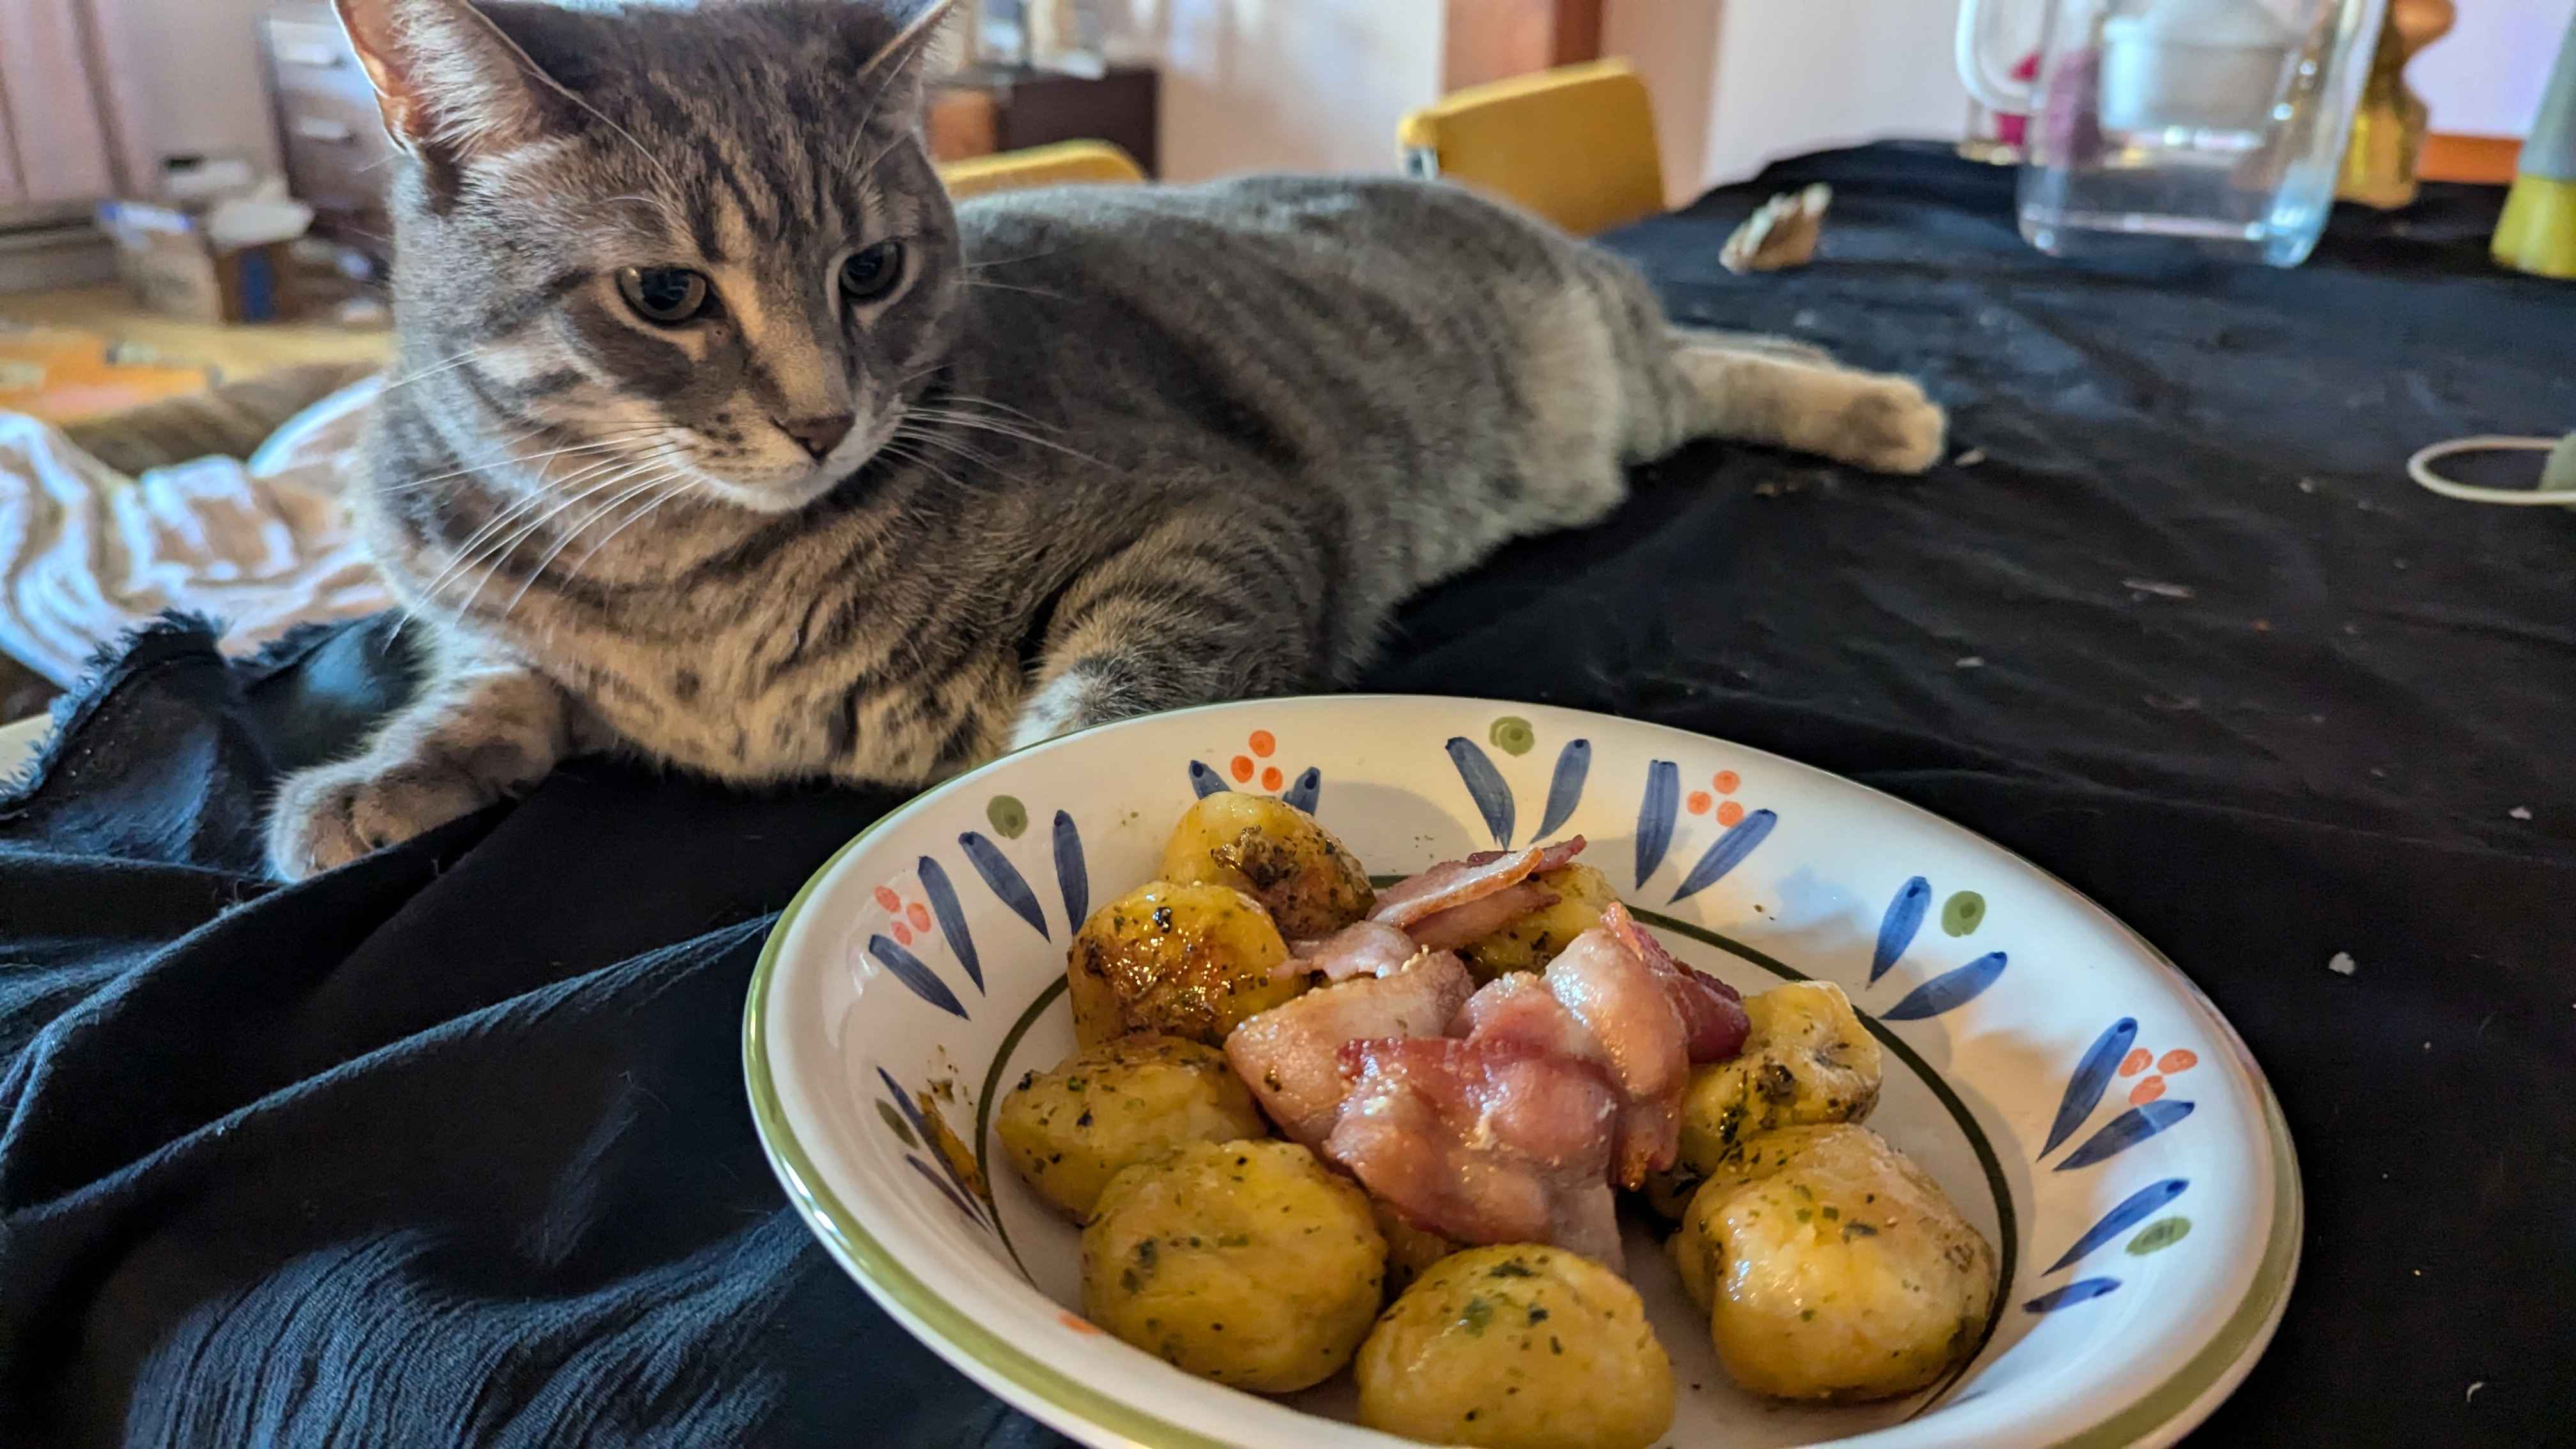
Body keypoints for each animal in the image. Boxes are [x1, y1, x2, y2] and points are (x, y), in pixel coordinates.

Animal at [272, 0, 1937, 877]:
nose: (823, 416)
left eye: (872, 270)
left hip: (1606, 368)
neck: (682, 573)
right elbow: (492, 686)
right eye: (666, 295)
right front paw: (379, 778)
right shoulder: (473, 614)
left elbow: (1102, 713)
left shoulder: (1208, 524)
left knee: (1717, 357)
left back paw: (1875, 402)